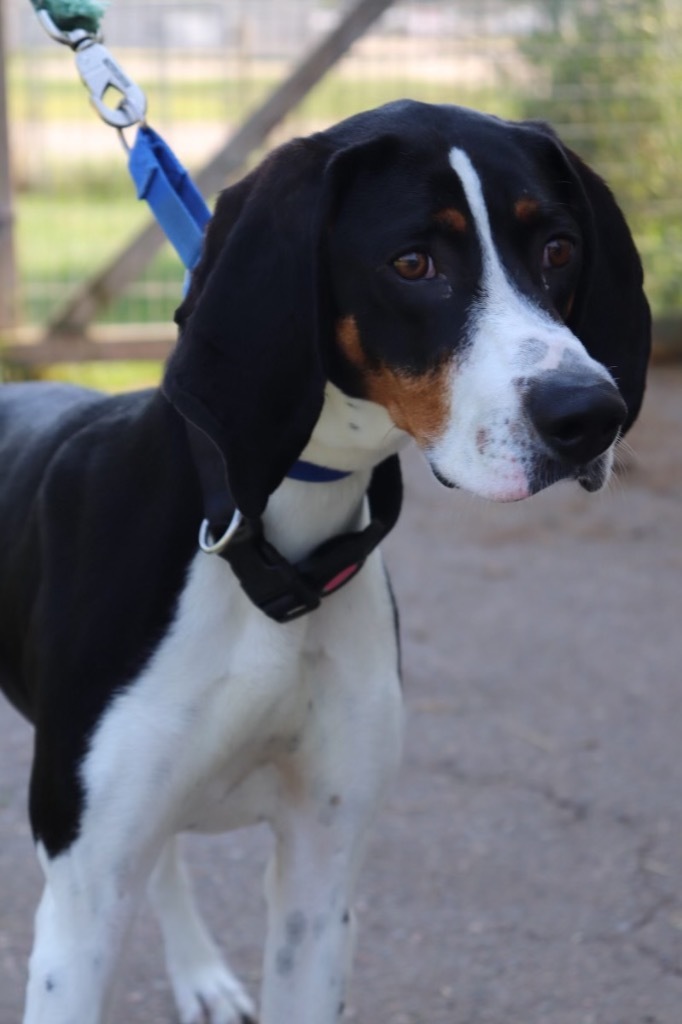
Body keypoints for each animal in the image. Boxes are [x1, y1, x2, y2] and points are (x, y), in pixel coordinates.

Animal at [0, 97, 647, 1024]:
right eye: (412, 262)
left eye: (558, 248)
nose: (592, 415)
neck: (268, 548)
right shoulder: (83, 897)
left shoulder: (320, 874)